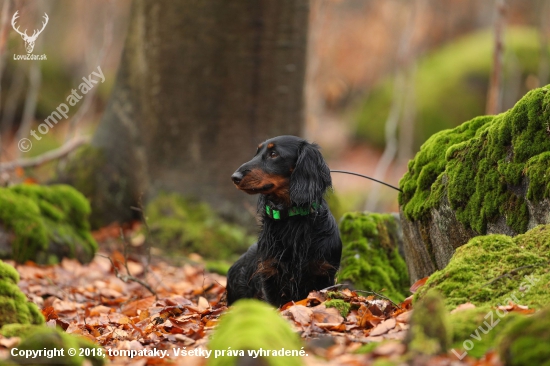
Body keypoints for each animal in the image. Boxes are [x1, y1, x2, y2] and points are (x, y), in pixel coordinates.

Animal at [226, 134, 342, 306]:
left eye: (274, 154)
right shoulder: (270, 273)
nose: (235, 177)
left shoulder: (324, 274)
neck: (291, 219)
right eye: (256, 152)